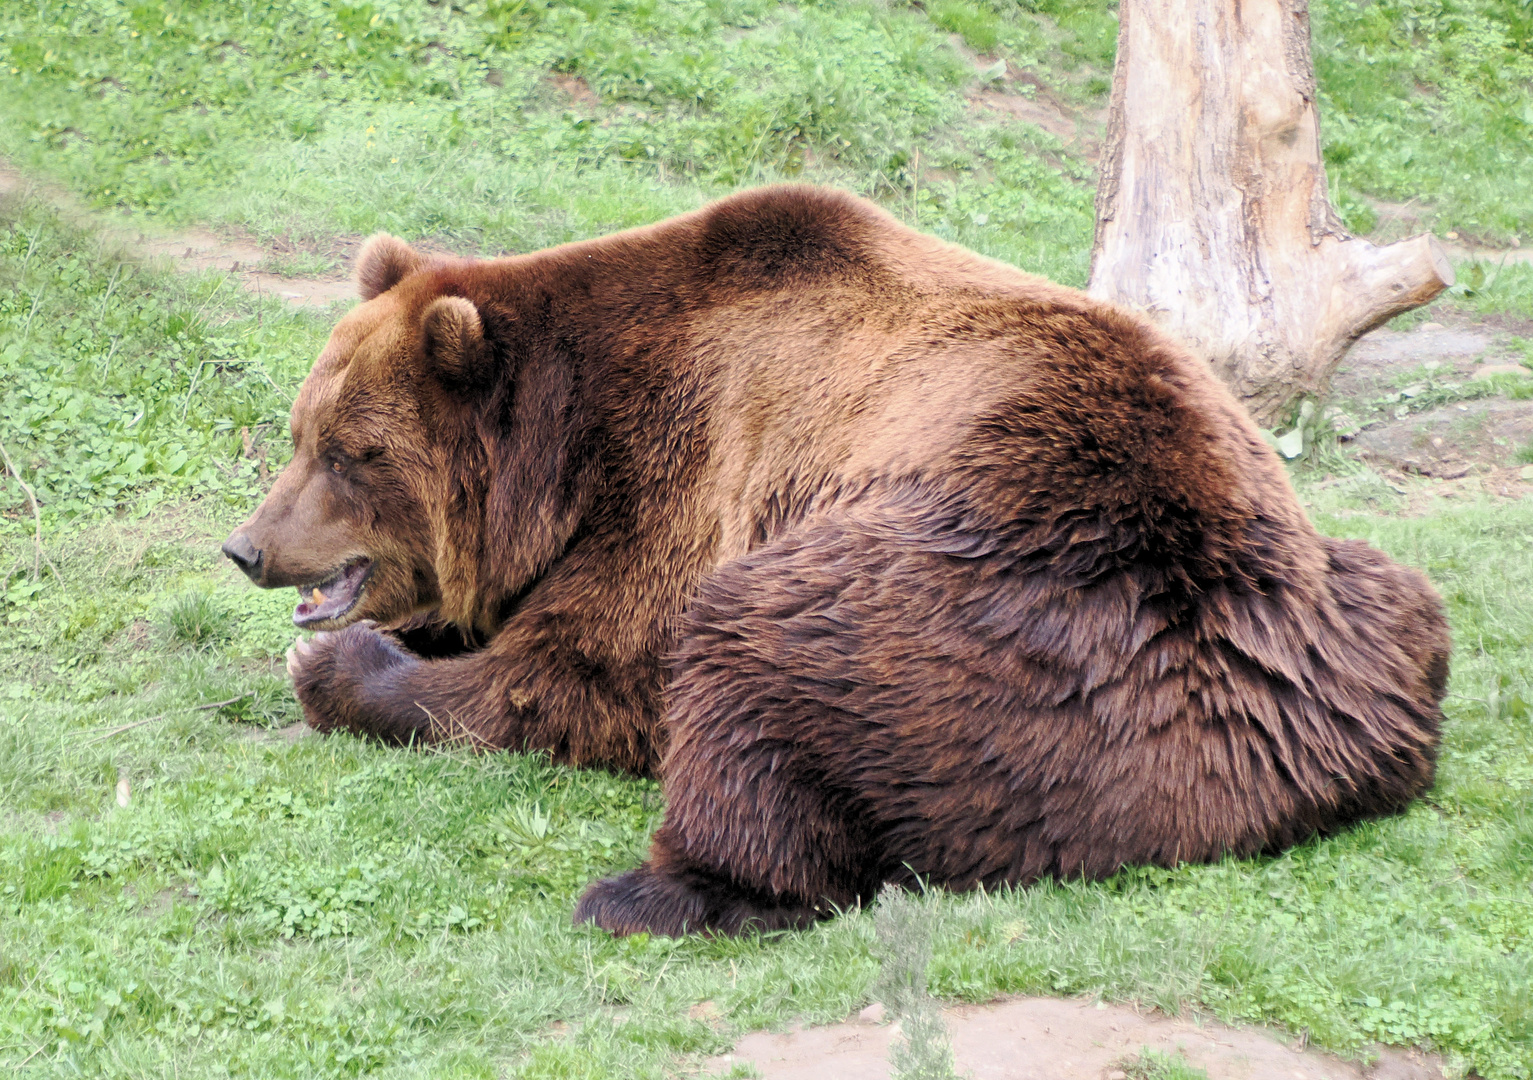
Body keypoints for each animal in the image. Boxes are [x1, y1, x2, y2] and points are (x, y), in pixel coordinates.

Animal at [223, 183, 1447, 937]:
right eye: (300, 430)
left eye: (352, 453)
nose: (246, 546)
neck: (568, 443)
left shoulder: (690, 469)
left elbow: (583, 668)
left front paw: (346, 670)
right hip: (1356, 596)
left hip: (991, 593)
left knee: (753, 657)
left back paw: (651, 891)